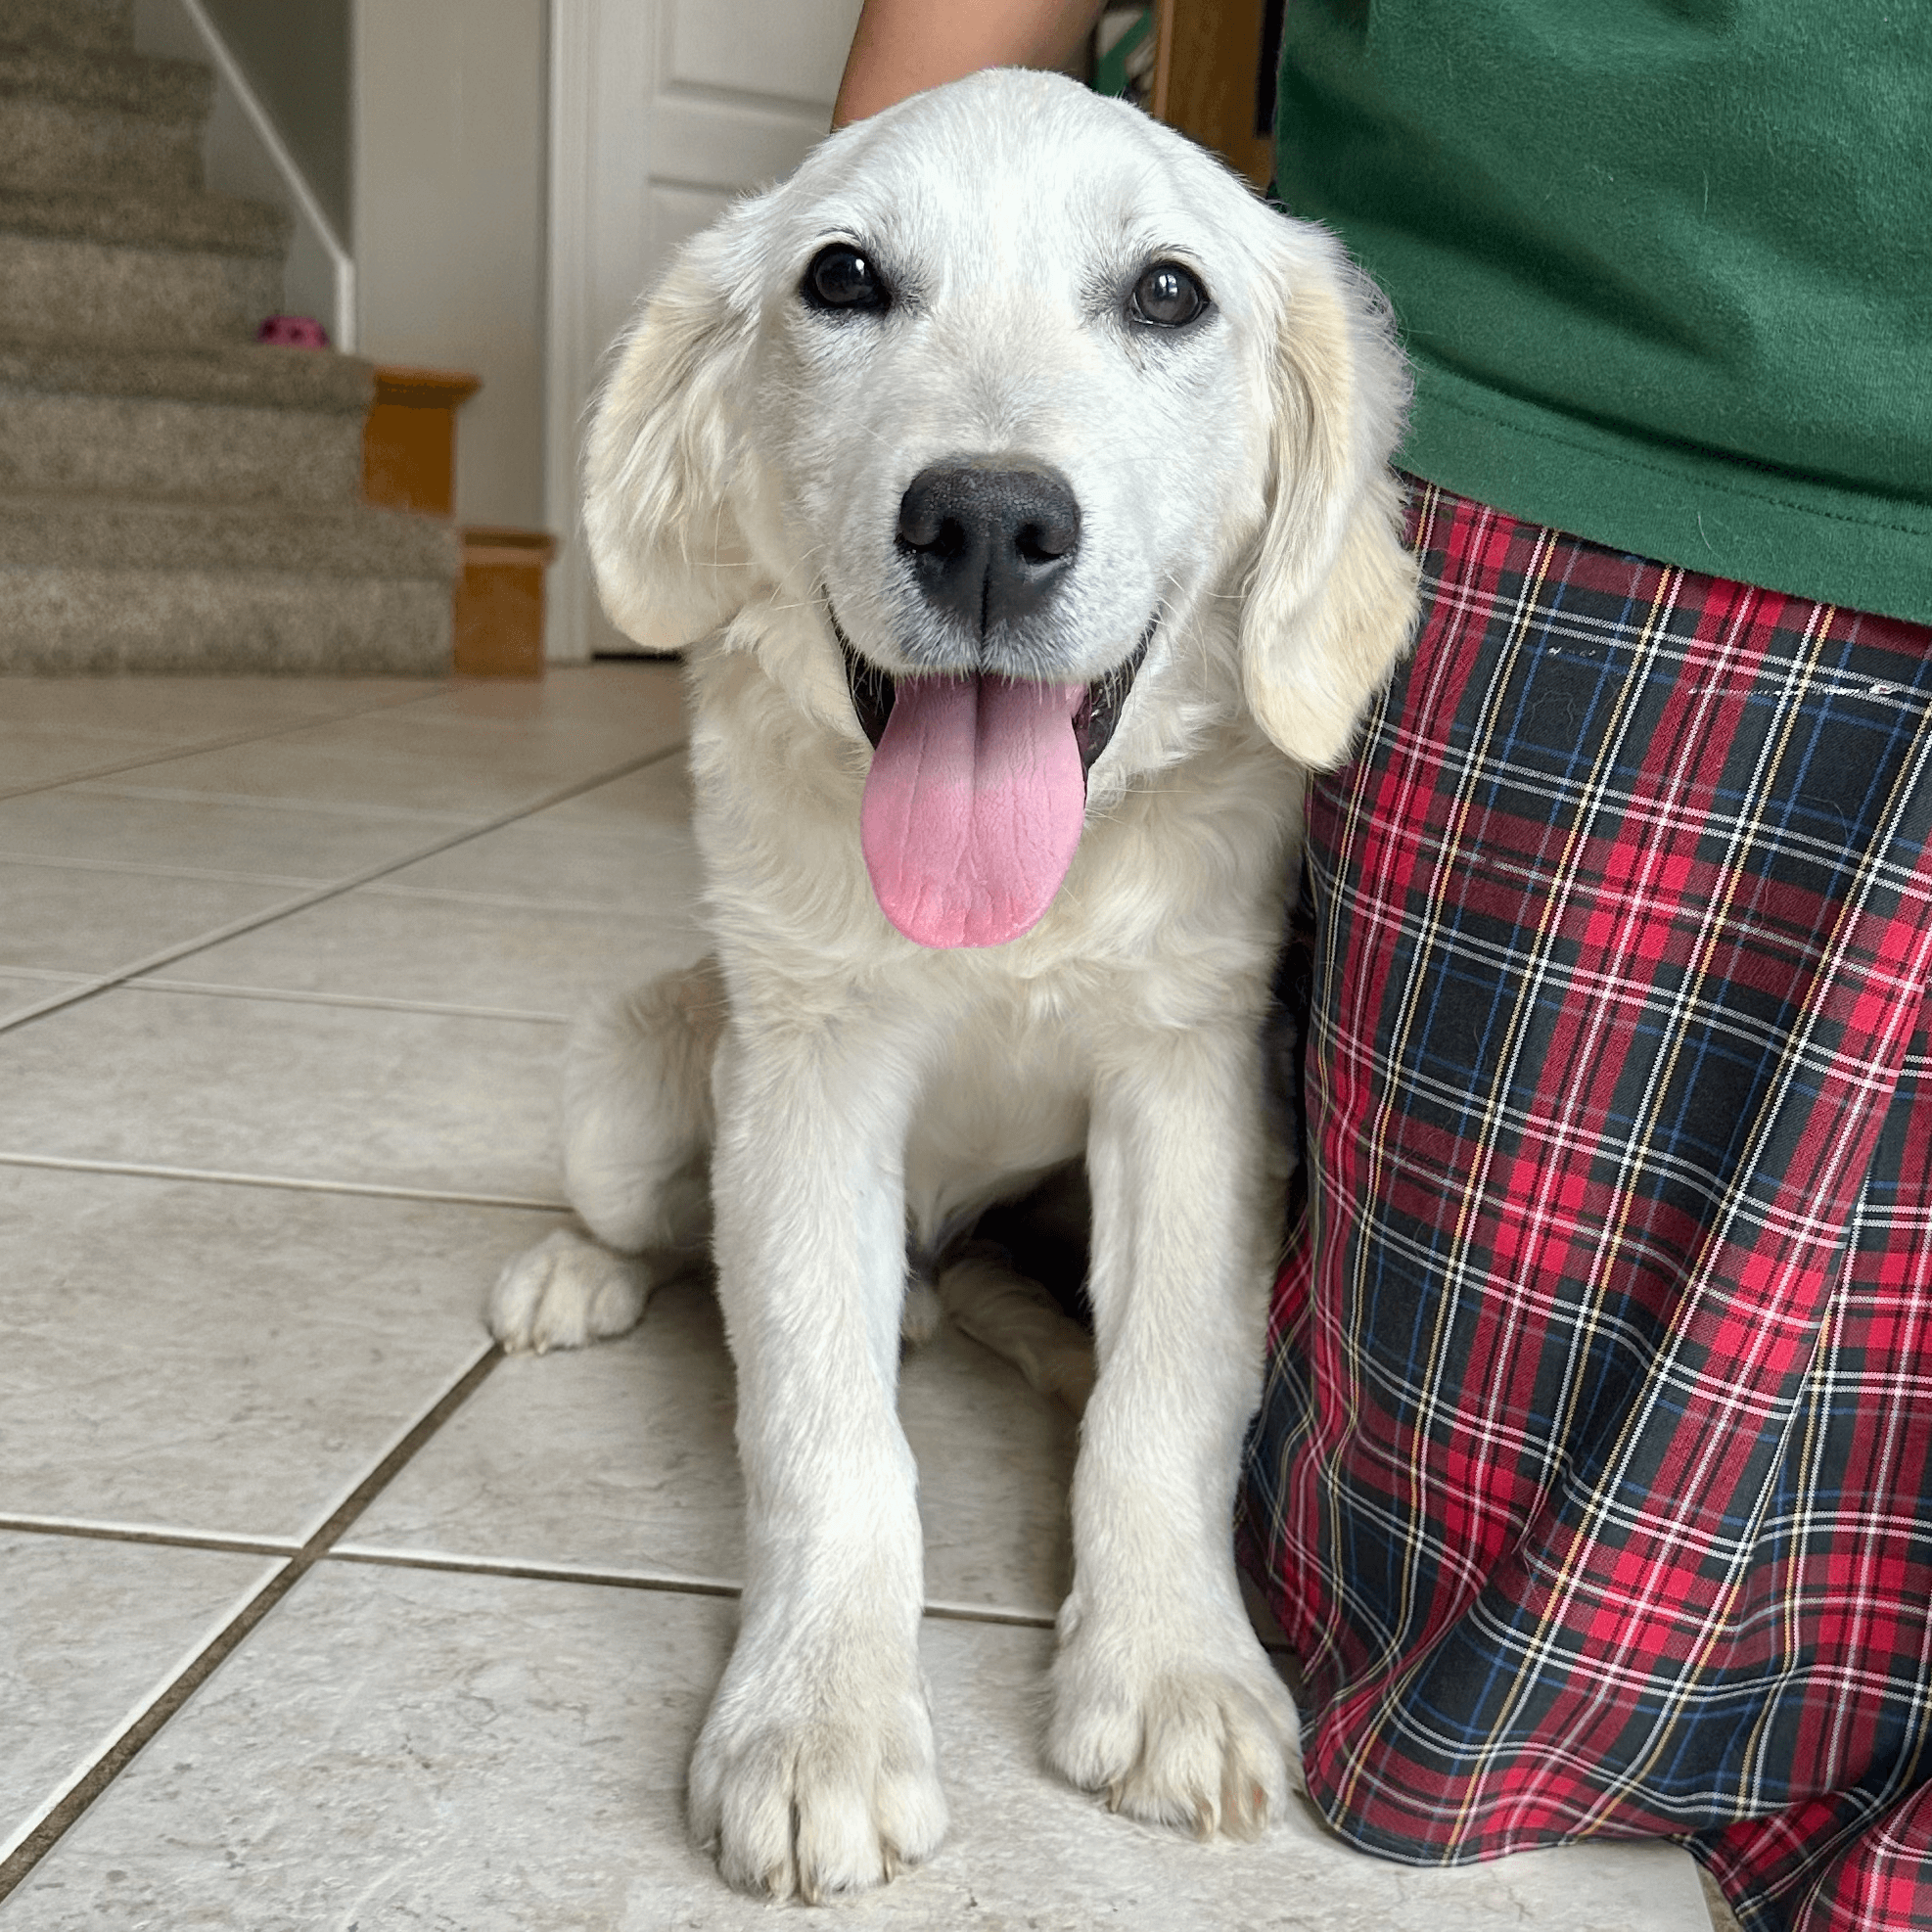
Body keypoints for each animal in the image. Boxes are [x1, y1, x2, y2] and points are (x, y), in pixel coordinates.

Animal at [490, 71, 1413, 1901]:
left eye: (1165, 294)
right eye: (842, 278)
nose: (986, 521)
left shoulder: (1193, 1079)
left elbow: (1167, 1389)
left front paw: (1171, 1663)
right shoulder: (803, 1072)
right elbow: (820, 1420)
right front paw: (815, 1724)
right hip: (637, 1081)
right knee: (667, 1230)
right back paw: (583, 1272)